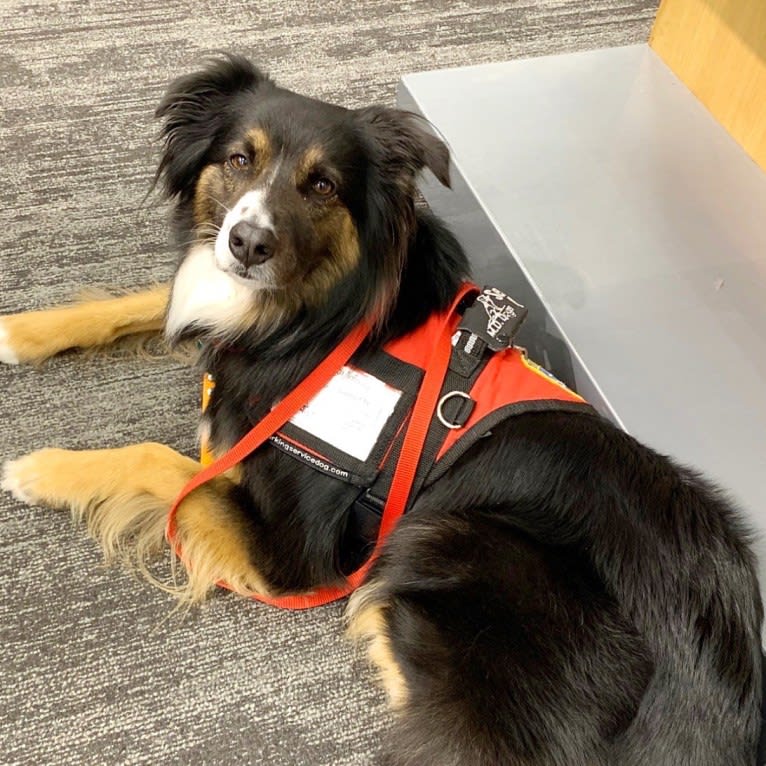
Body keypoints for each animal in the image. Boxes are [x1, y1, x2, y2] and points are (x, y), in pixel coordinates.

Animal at [0, 55, 764, 766]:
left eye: (322, 185)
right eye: (240, 158)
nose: (248, 243)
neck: (315, 318)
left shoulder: (292, 553)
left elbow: (159, 459)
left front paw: (43, 469)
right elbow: (149, 299)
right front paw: (23, 330)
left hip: (445, 534)